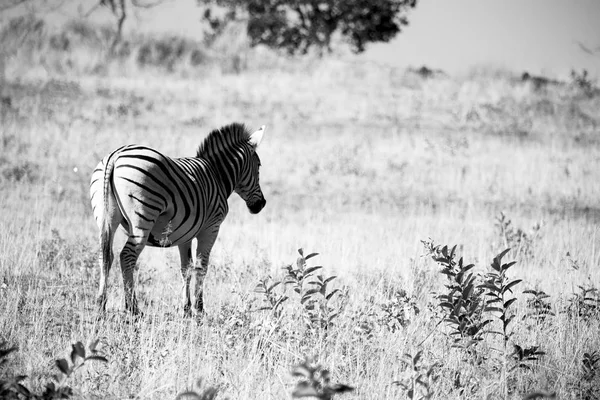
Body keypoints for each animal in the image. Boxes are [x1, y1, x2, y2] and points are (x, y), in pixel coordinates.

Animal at [89, 123, 268, 318]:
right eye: (259, 166)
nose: (261, 204)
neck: (217, 175)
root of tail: (115, 156)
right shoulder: (211, 228)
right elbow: (201, 267)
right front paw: (199, 308)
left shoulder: (185, 234)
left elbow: (186, 269)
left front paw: (186, 308)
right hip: (143, 220)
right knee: (126, 256)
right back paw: (133, 309)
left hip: (105, 218)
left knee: (105, 256)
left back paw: (100, 306)